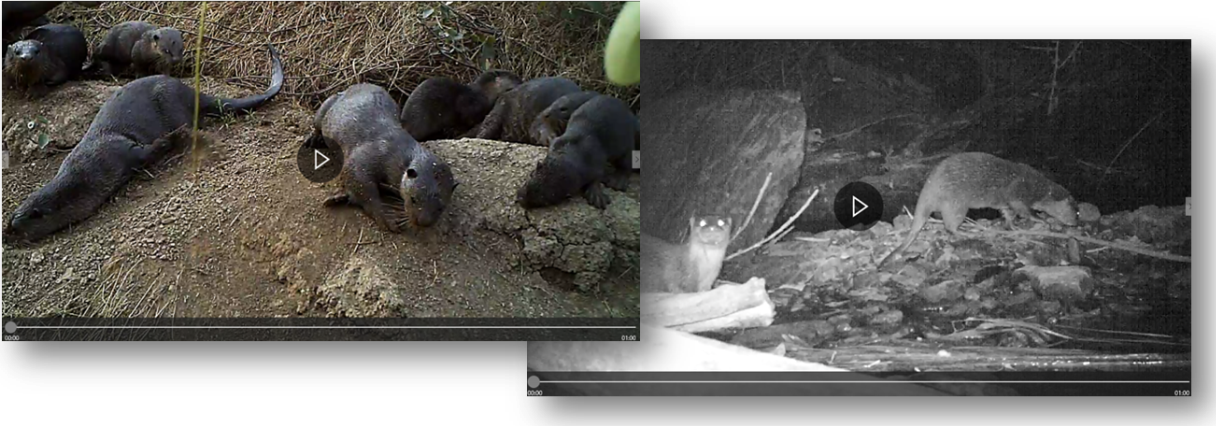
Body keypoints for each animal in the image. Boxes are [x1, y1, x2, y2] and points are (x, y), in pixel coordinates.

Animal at [2, 45, 284, 244]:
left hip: (168, 99)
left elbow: (146, 151)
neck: (85, 173)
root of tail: (187, 90)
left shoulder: (118, 154)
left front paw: (169, 141)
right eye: (8, 222)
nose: (6, 234)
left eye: (17, 226)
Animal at [306, 83, 458, 232]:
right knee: (317, 123)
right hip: (327, 105)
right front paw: (385, 216)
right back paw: (313, 139)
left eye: (440, 208)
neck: (395, 153)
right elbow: (360, 183)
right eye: (413, 199)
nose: (422, 222)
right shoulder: (368, 156)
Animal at [876, 152, 1080, 268]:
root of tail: (929, 189)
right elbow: (1024, 211)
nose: (1076, 223)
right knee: (949, 226)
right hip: (957, 204)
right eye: (1076, 212)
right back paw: (968, 233)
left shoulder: (1006, 202)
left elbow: (1008, 213)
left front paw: (1012, 225)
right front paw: (1041, 219)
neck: (1037, 188)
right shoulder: (1018, 194)